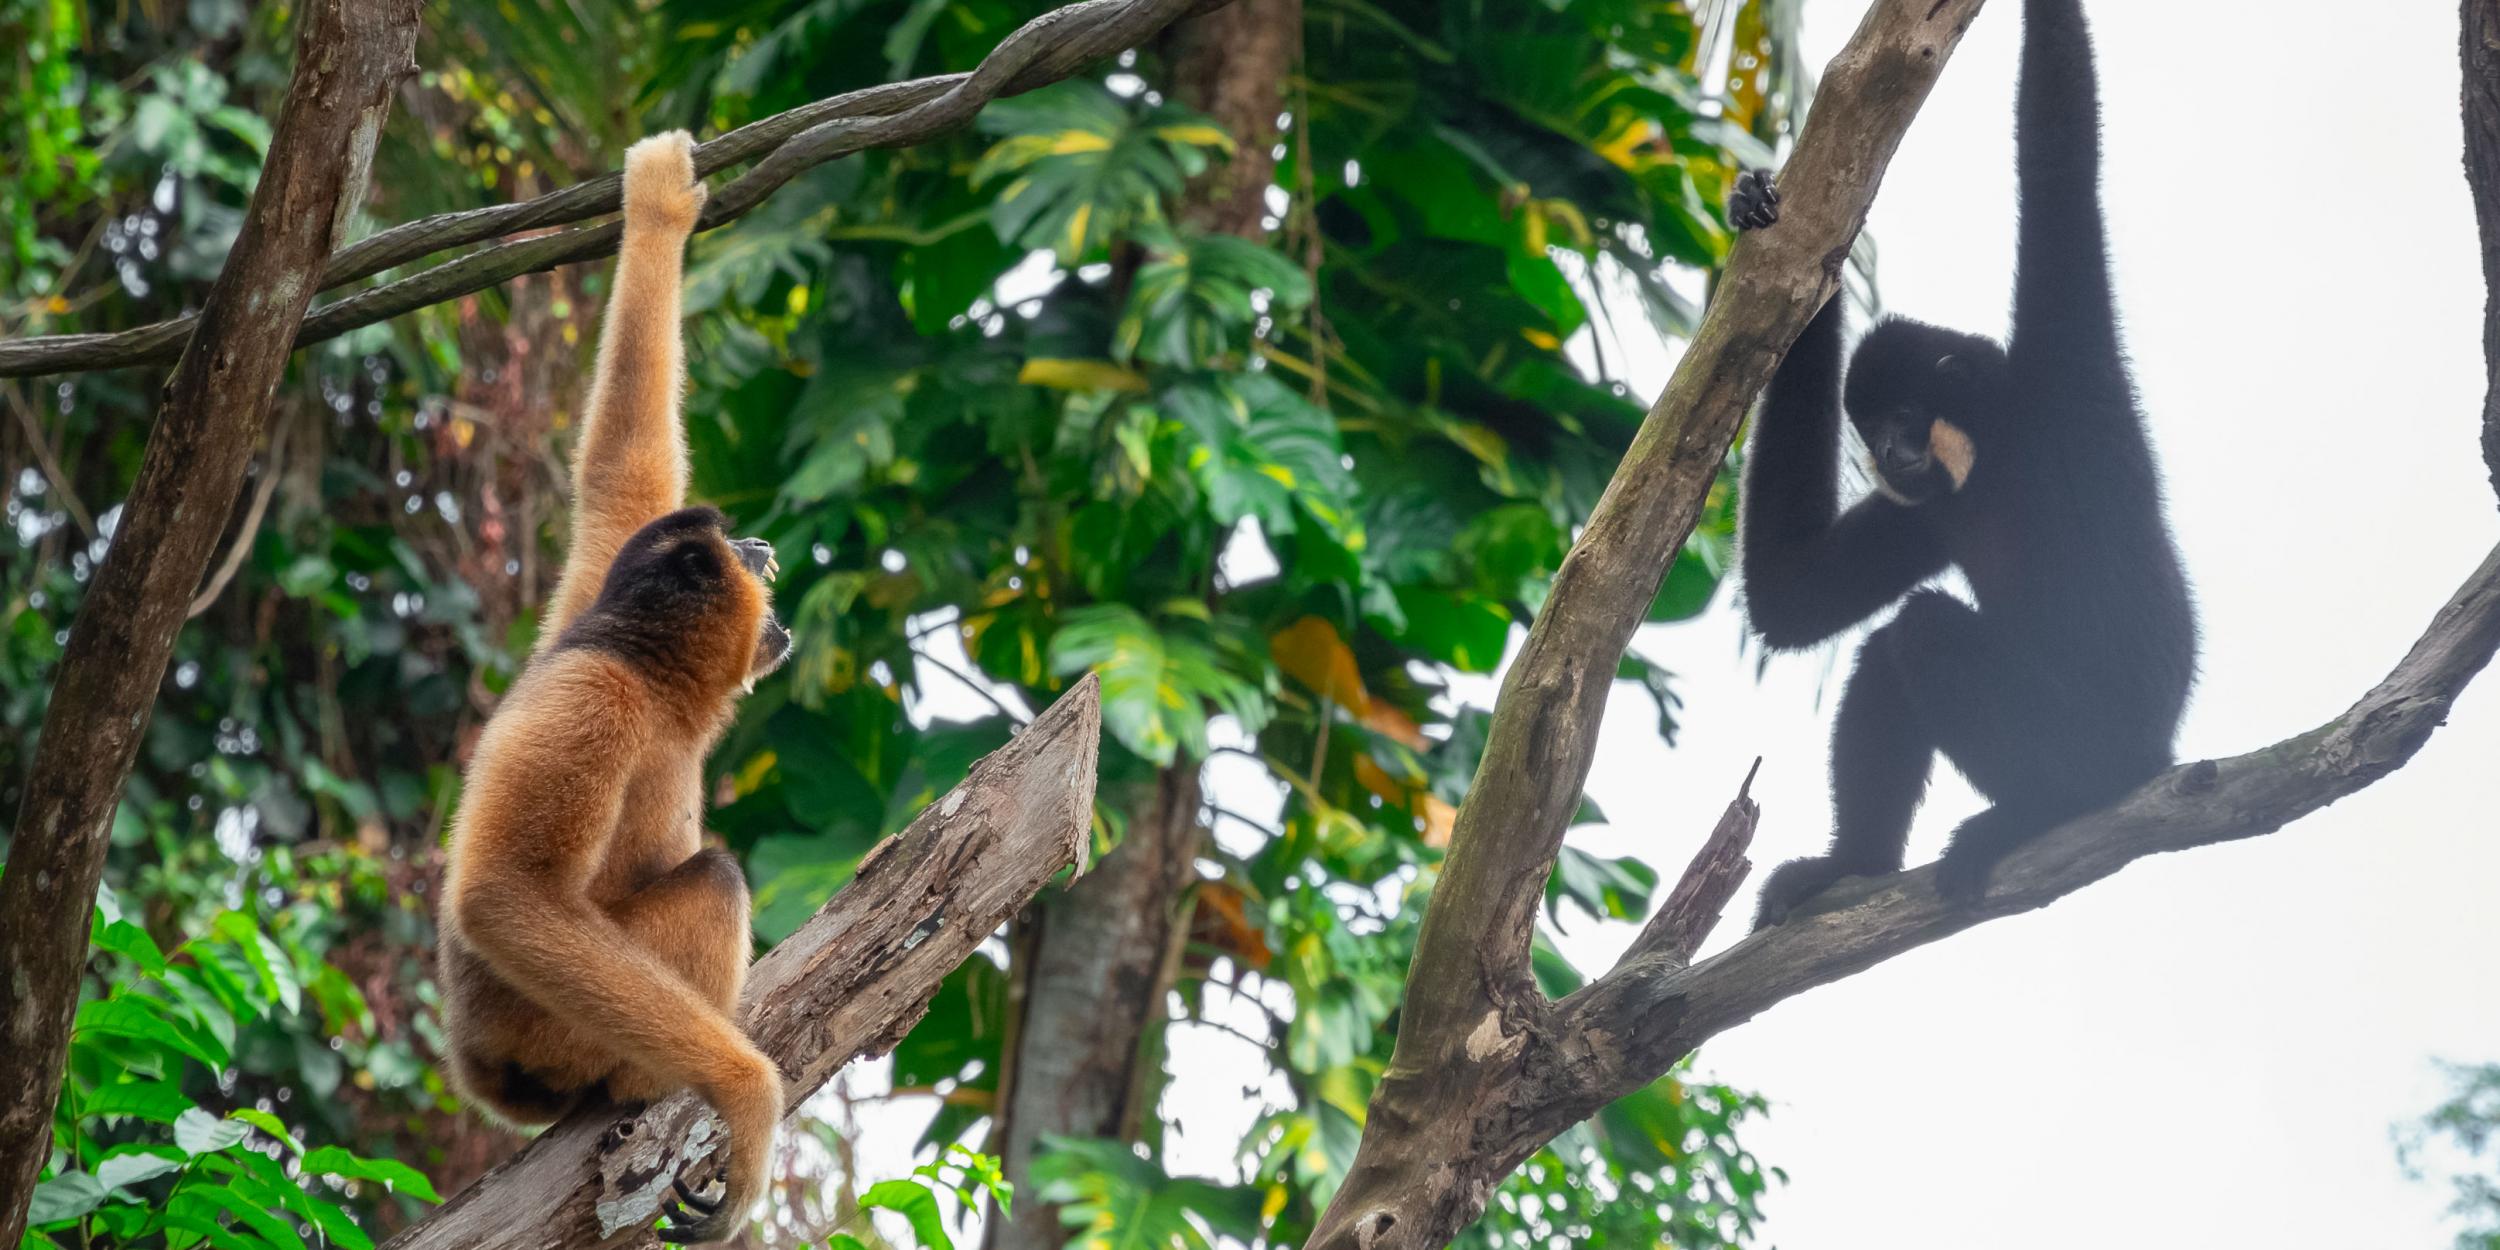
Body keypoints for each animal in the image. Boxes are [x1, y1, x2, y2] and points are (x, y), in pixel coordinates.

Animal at [437, 131, 793, 1243]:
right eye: (751, 565)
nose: (767, 558)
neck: (654, 679)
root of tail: (483, 1068)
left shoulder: (588, 602)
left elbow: (618, 474)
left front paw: (659, 208)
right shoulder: (596, 692)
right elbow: (506, 897)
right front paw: (747, 1095)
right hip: (550, 1030)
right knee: (715, 877)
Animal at [1732, 0, 2196, 929]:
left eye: (1905, 418)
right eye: (1869, 428)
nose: (1890, 454)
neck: (2000, 452)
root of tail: (2155, 752)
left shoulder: (2064, 377)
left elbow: (2057, 154)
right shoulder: (1933, 508)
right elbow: (1793, 599)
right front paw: (1802, 247)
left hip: (2084, 742)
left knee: (1923, 630)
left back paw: (2041, 811)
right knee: (1892, 643)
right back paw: (1854, 864)